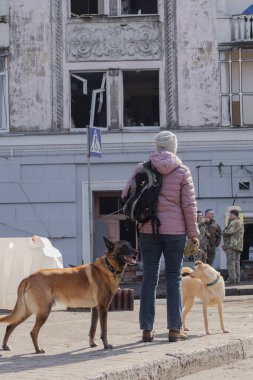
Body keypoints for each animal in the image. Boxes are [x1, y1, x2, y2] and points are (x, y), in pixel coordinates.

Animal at [0, 238, 137, 354]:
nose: (137, 251)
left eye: (130, 244)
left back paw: (5, 346)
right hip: (43, 311)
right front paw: (106, 345)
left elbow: (92, 329)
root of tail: (28, 277)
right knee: (33, 332)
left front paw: (92, 344)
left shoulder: (95, 309)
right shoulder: (103, 308)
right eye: (124, 247)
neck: (109, 267)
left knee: (10, 325)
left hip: (27, 311)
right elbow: (104, 331)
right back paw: (38, 350)